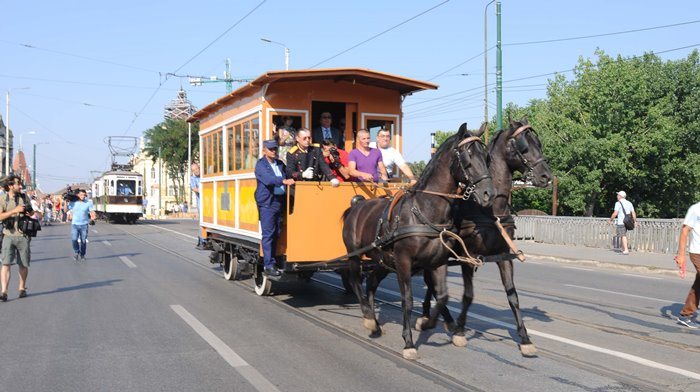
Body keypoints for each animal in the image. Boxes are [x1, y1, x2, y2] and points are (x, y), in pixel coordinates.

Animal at [342, 124, 494, 360]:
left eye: (486, 157)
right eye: (467, 157)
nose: (488, 193)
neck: (423, 211)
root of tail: (357, 205)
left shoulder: (438, 262)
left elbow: (442, 296)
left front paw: (429, 323)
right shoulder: (404, 262)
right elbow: (408, 300)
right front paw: (409, 343)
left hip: (383, 261)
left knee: (372, 283)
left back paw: (375, 322)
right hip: (355, 255)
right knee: (355, 280)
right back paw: (368, 318)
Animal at [418, 118, 556, 356]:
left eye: (538, 143)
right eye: (523, 146)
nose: (545, 176)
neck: (491, 210)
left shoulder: (504, 254)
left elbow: (512, 295)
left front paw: (525, 338)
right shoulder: (468, 255)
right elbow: (468, 295)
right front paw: (460, 332)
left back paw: (429, 314)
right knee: (431, 282)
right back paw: (444, 320)